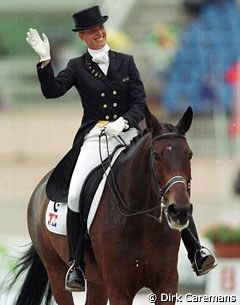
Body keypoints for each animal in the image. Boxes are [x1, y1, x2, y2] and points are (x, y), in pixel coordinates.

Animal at [6, 105, 193, 302]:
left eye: (189, 155)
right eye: (156, 156)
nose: (179, 211)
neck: (141, 220)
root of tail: (41, 188)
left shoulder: (167, 284)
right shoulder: (119, 289)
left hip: (97, 281)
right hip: (56, 271)